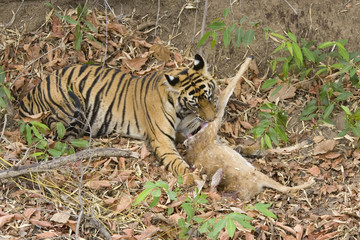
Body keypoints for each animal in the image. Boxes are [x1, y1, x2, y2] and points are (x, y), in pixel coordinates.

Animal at [19, 54, 217, 178]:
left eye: (209, 96)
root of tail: (33, 90)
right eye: (194, 103)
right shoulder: (162, 140)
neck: (182, 112)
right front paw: (193, 178)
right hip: (68, 109)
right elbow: (177, 162)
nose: (213, 119)